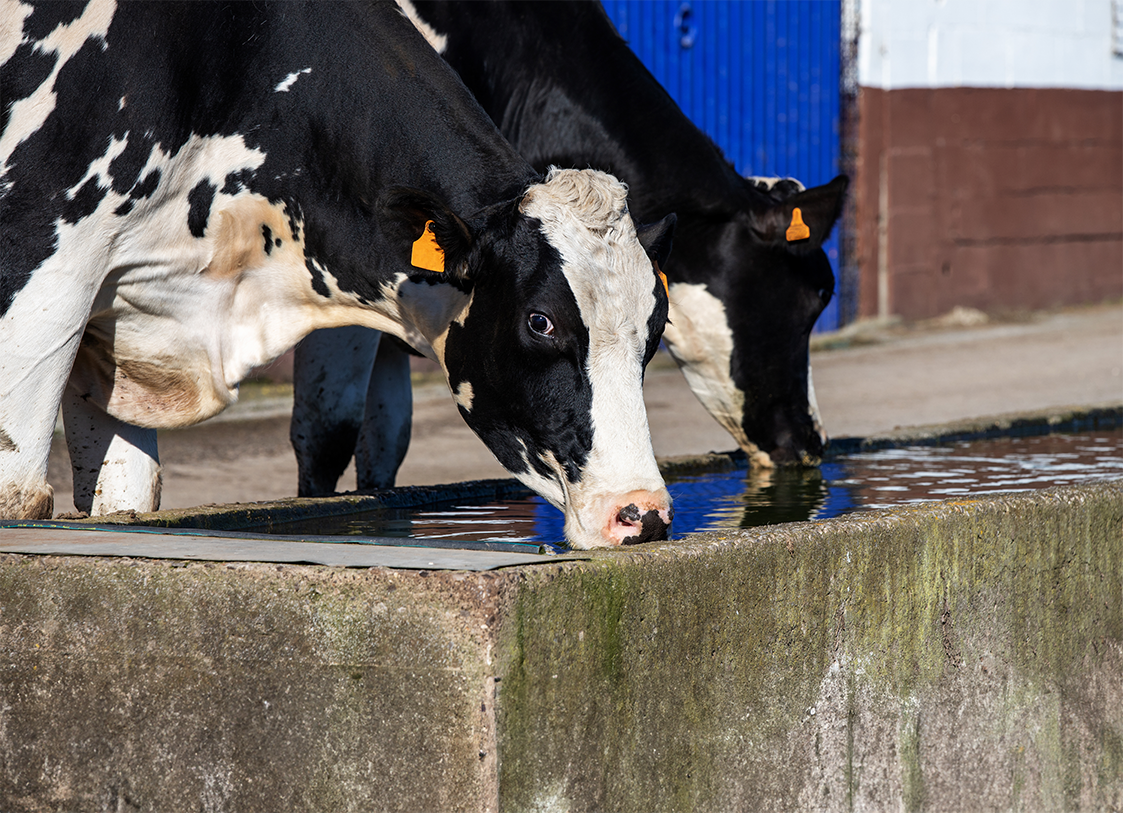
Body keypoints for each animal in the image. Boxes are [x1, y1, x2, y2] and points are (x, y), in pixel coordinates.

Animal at [0, 0, 673, 552]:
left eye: (655, 329)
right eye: (540, 322)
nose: (642, 514)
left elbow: (128, 499)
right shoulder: (45, 277)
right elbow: (22, 494)